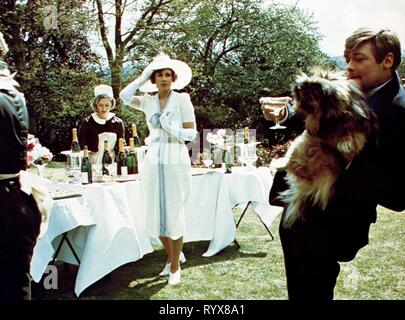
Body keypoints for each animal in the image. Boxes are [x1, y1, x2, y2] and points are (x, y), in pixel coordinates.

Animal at [274, 68, 378, 228]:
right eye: (301, 94)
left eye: (312, 93)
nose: (299, 93)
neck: (331, 118)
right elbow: (314, 124)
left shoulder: (356, 124)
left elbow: (350, 131)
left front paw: (345, 142)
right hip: (300, 144)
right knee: (288, 161)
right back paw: (278, 164)